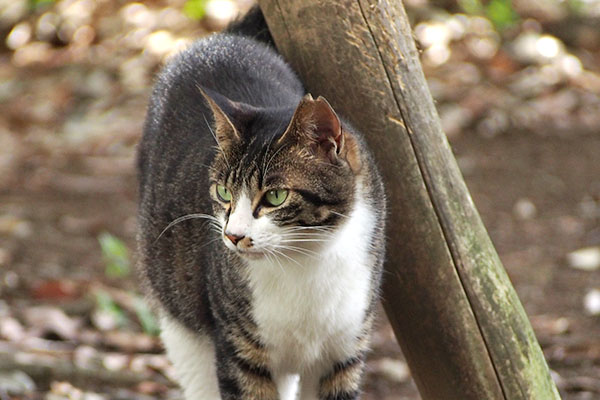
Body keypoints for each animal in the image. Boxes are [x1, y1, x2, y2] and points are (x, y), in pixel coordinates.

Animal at [137, 6, 384, 400]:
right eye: (224, 192)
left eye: (275, 196)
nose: (233, 236)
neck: (307, 261)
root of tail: (224, 39)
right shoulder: (240, 351)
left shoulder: (345, 350)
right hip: (181, 319)